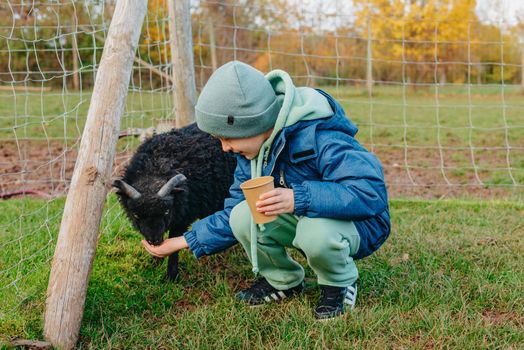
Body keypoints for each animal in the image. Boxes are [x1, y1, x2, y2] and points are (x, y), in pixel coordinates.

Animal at [115, 121, 238, 280]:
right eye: (136, 214)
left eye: (167, 211)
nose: (154, 240)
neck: (155, 167)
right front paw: (154, 264)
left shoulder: (183, 217)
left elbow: (173, 244)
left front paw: (171, 276)